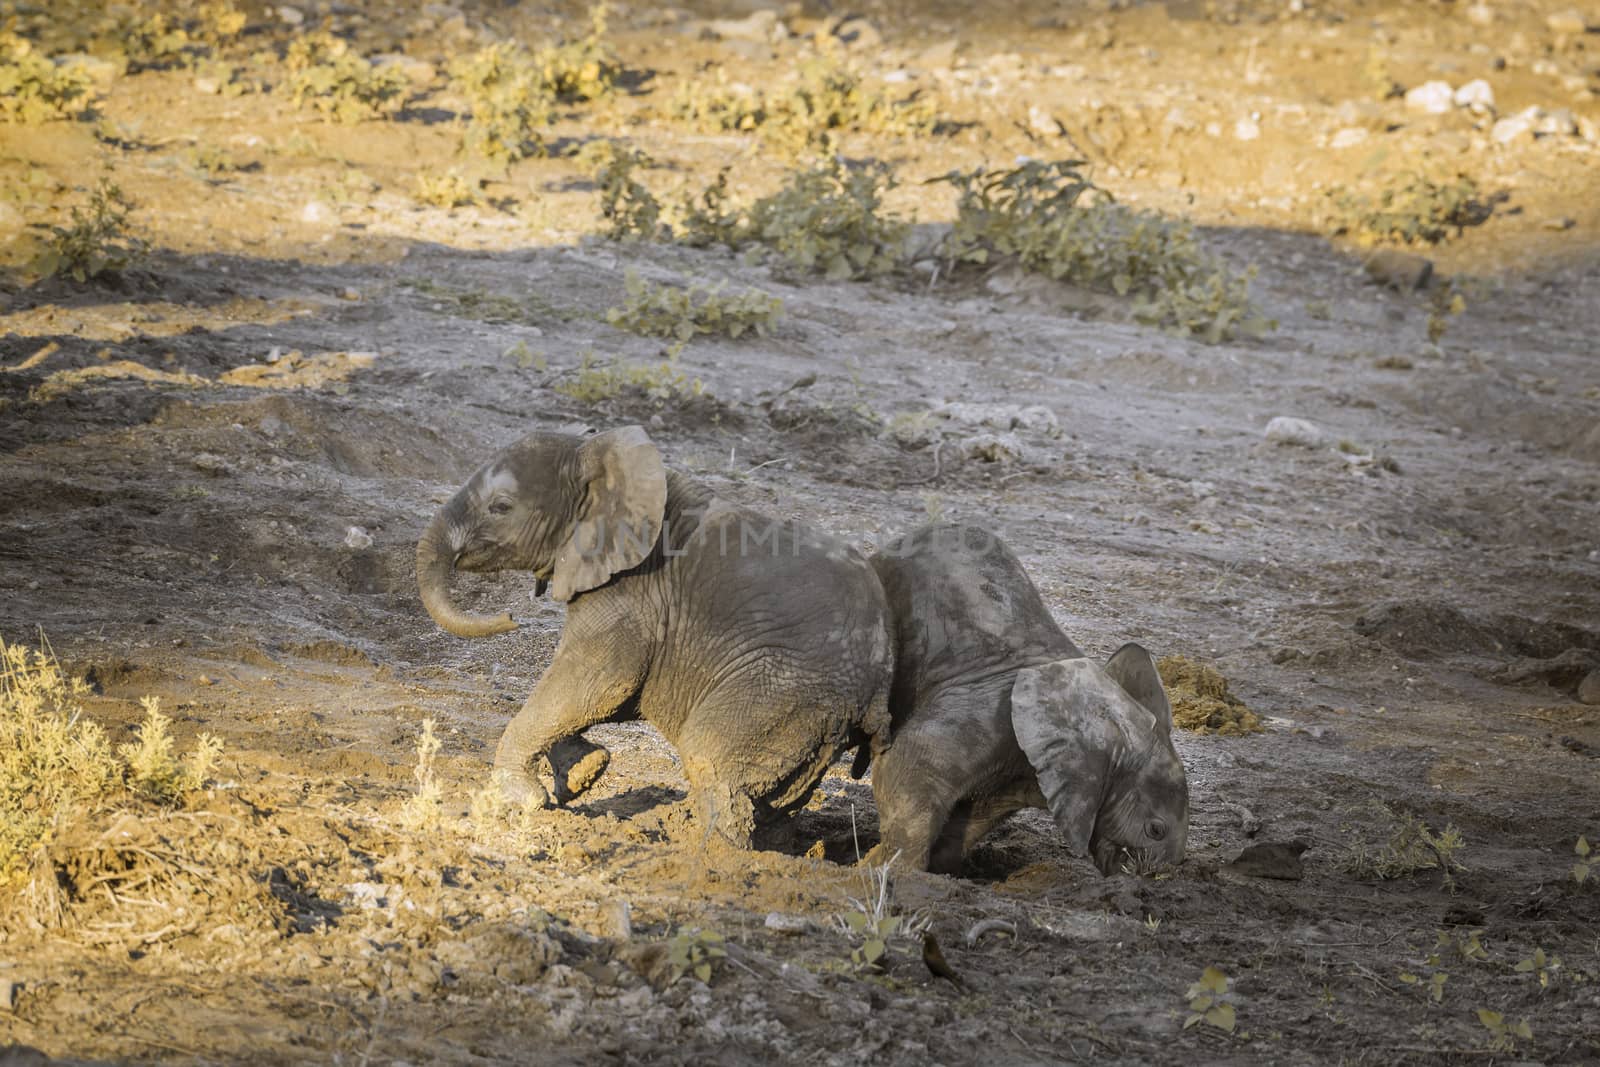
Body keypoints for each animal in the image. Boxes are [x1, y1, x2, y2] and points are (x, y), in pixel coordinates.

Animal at [419, 425, 896, 851]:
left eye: (501, 506)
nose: (511, 617)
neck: (597, 455)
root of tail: (879, 683)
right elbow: (587, 691)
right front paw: (585, 772)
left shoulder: (633, 591)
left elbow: (600, 680)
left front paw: (524, 800)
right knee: (778, 796)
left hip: (787, 686)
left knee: (709, 753)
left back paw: (709, 861)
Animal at [864, 524, 1190, 876]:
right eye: (1155, 829)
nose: (1147, 877)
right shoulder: (990, 713)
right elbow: (906, 767)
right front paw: (886, 873)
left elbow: (971, 819)